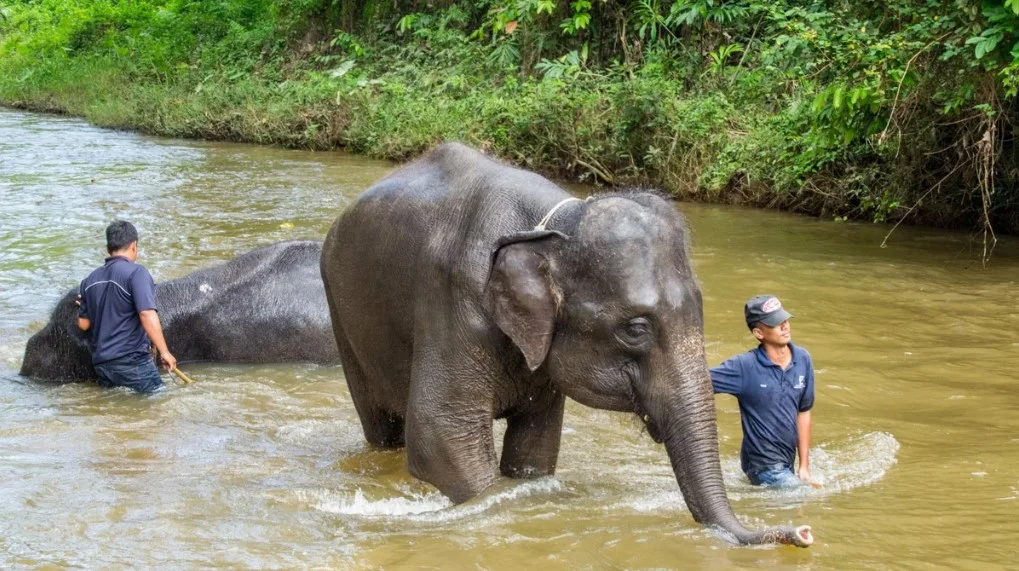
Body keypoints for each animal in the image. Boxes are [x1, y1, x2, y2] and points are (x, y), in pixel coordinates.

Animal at [320, 143, 813, 547]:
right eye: (635, 329)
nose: (803, 533)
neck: (553, 226)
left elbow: (536, 446)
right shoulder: (452, 303)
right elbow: (440, 432)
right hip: (343, 317)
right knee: (385, 430)